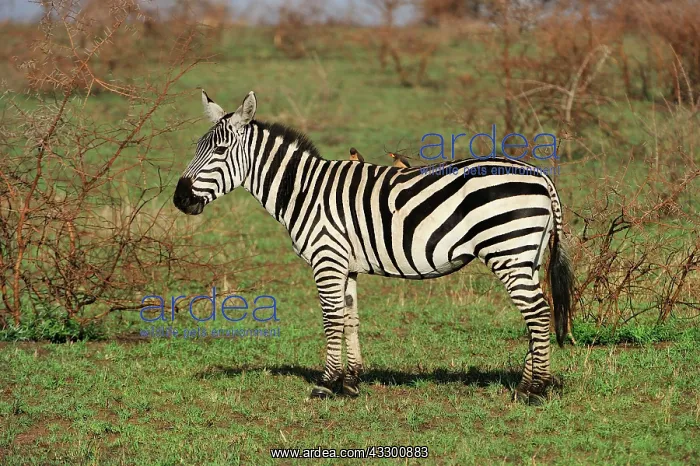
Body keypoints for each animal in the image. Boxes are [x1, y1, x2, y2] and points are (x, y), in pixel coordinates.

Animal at [174, 90, 575, 403]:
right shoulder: (346, 264)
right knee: (536, 313)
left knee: (538, 313)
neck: (303, 190)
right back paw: (529, 383)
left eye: (220, 150)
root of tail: (539, 175)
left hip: (507, 251)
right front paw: (350, 382)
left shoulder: (327, 259)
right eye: (197, 148)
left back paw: (533, 390)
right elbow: (350, 318)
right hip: (528, 256)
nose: (180, 199)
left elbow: (331, 318)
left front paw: (325, 384)